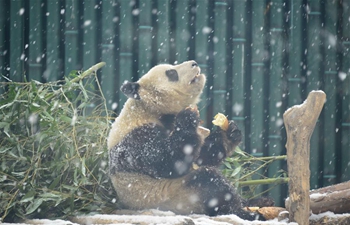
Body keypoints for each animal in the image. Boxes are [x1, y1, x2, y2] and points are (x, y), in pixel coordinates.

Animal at [106, 59, 266, 220]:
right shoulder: (136, 138)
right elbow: (168, 161)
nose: (194, 63)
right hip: (177, 196)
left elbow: (202, 157)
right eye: (171, 73)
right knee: (210, 183)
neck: (149, 109)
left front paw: (230, 132)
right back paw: (244, 212)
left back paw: (259, 202)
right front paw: (187, 118)